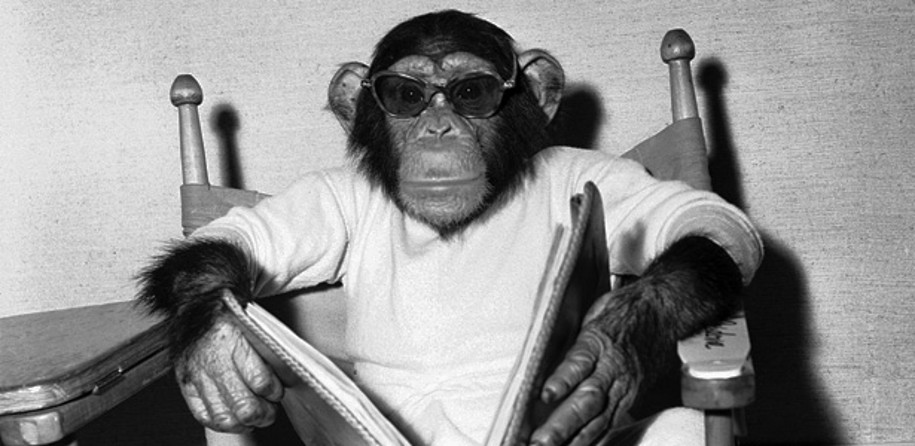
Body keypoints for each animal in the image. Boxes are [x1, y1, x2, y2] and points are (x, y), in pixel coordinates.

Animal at [139, 10, 762, 446]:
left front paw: (611, 343)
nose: (438, 127)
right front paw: (217, 347)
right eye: (406, 95)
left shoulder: (598, 173)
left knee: (683, 423)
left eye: (471, 91)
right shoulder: (332, 192)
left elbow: (696, 216)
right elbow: (243, 234)